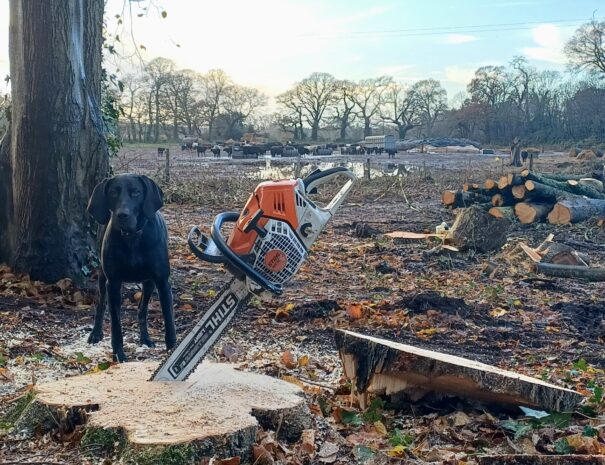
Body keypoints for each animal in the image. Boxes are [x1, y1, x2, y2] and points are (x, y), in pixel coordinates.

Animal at [87, 173, 177, 358]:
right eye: (113, 193)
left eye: (136, 192)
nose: (122, 215)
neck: (132, 238)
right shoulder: (113, 283)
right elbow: (115, 323)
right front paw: (119, 354)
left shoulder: (163, 281)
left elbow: (169, 320)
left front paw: (172, 349)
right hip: (102, 277)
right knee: (100, 305)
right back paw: (96, 333)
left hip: (149, 283)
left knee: (142, 309)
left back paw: (145, 338)